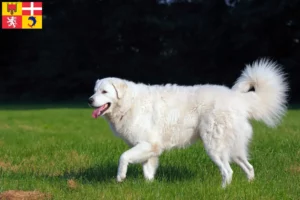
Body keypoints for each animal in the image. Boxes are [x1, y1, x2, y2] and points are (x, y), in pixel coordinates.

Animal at [88, 59, 288, 188]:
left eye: (104, 92)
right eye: (95, 91)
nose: (90, 100)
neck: (129, 102)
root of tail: (238, 99)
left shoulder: (147, 144)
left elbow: (123, 157)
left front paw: (120, 177)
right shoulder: (150, 149)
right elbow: (148, 172)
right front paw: (150, 187)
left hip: (214, 147)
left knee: (228, 171)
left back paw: (222, 190)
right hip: (233, 149)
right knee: (249, 167)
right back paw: (249, 185)